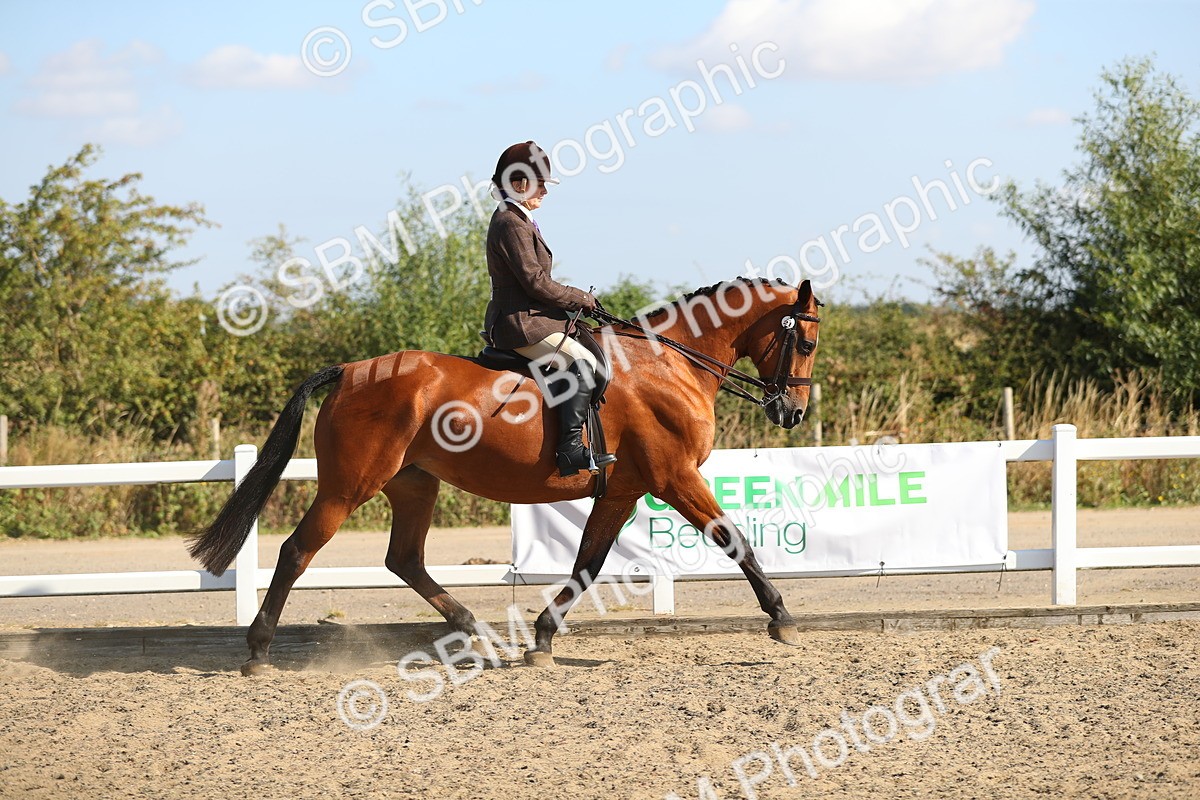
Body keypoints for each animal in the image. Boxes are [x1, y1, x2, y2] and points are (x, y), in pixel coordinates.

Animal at [189, 277, 822, 674]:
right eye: (807, 341)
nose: (792, 413)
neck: (670, 364)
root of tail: (349, 371)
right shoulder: (674, 477)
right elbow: (734, 540)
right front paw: (782, 618)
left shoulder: (623, 488)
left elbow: (588, 563)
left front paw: (541, 639)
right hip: (350, 486)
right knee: (298, 551)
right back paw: (258, 651)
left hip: (414, 483)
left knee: (405, 559)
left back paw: (478, 631)